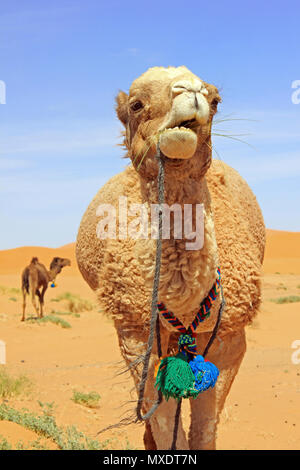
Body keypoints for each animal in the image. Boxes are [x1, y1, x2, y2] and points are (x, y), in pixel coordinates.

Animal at [75, 67, 264, 452]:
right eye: (136, 104)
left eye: (216, 99)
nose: (189, 90)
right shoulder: (134, 333)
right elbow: (164, 422)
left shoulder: (230, 336)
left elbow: (205, 426)